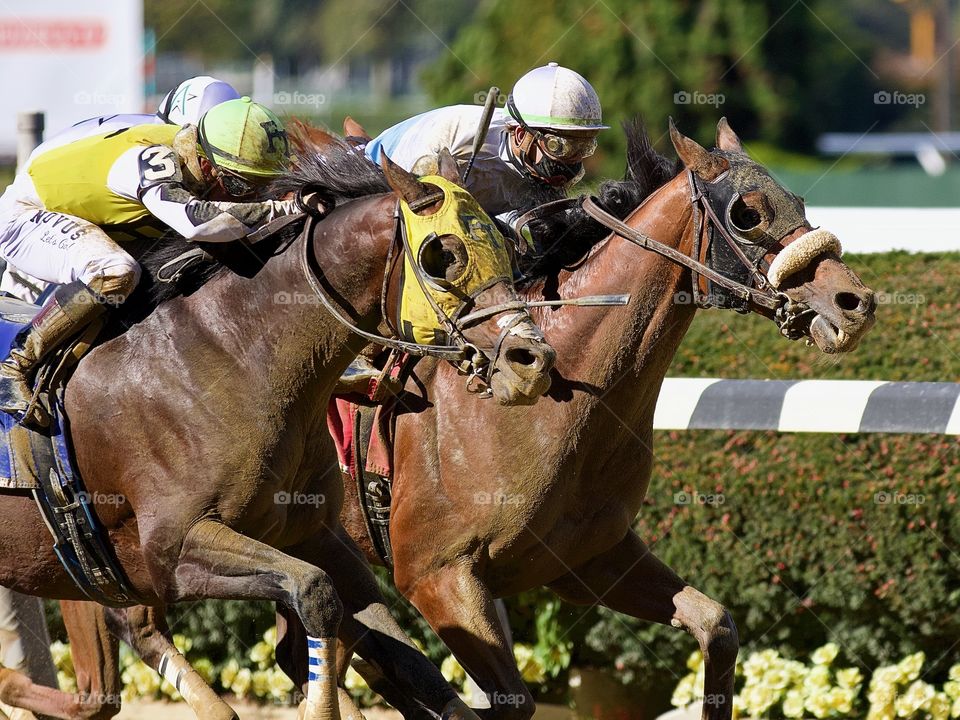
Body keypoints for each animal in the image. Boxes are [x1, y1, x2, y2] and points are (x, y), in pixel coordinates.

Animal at [0, 136, 556, 720]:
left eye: (507, 245)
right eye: (444, 255)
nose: (531, 360)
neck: (230, 353)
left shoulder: (314, 533)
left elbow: (393, 644)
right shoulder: (173, 549)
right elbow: (315, 594)